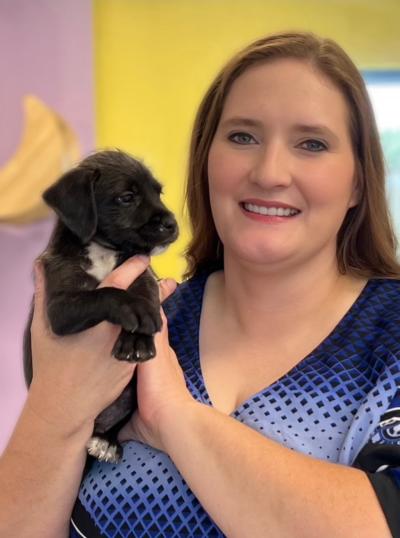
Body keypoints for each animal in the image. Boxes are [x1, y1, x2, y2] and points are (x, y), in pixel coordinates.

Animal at [23, 150, 177, 460]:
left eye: (159, 193)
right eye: (127, 197)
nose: (172, 223)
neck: (103, 250)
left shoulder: (143, 273)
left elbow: (144, 291)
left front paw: (138, 341)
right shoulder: (61, 307)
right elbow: (105, 293)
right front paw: (133, 310)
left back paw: (107, 440)